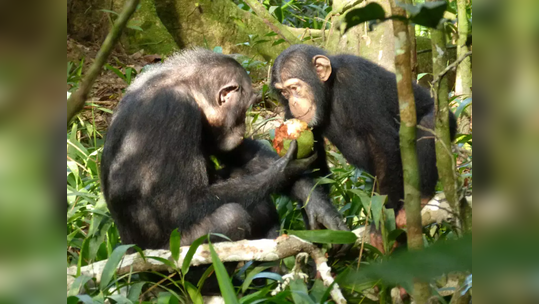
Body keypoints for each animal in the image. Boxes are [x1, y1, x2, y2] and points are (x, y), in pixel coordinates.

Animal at [100, 48, 346, 252]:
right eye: (245, 109)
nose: (243, 125)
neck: (192, 92)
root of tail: (128, 249)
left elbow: (237, 152)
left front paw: (315, 199)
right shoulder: (175, 112)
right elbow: (179, 205)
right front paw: (287, 169)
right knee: (231, 217)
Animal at [272, 44, 458, 251]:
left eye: (294, 88)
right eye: (284, 93)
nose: (293, 102)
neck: (330, 91)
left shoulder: (356, 81)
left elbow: (383, 145)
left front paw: (382, 221)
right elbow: (315, 169)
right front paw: (322, 217)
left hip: (445, 121)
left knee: (429, 125)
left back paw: (420, 197)